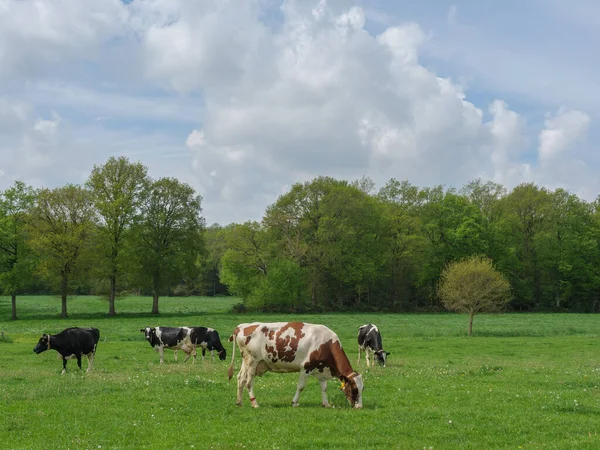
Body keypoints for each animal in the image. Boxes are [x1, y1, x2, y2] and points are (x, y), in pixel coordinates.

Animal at [227, 322, 364, 410]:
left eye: (362, 389)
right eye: (354, 389)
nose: (359, 407)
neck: (327, 344)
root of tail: (242, 326)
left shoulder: (321, 370)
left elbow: (324, 388)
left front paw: (326, 404)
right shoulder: (306, 367)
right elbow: (300, 387)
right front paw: (294, 402)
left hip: (245, 361)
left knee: (240, 379)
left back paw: (239, 402)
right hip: (252, 361)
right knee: (248, 382)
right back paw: (254, 403)